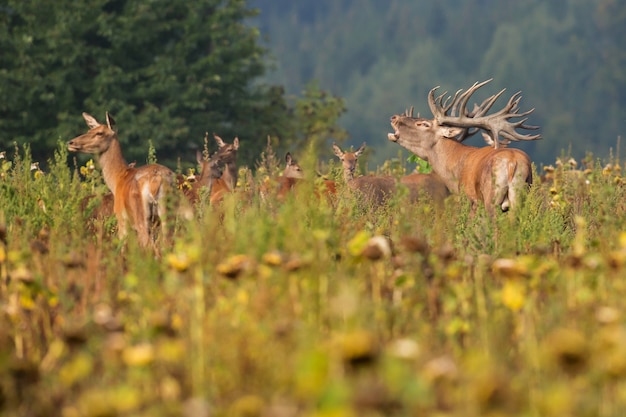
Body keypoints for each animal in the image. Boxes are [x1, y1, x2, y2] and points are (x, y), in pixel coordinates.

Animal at [67, 111, 173, 247]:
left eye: (99, 133)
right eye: (89, 130)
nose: (71, 143)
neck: (118, 179)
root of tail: (156, 179)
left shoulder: (121, 218)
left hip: (141, 215)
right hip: (167, 213)